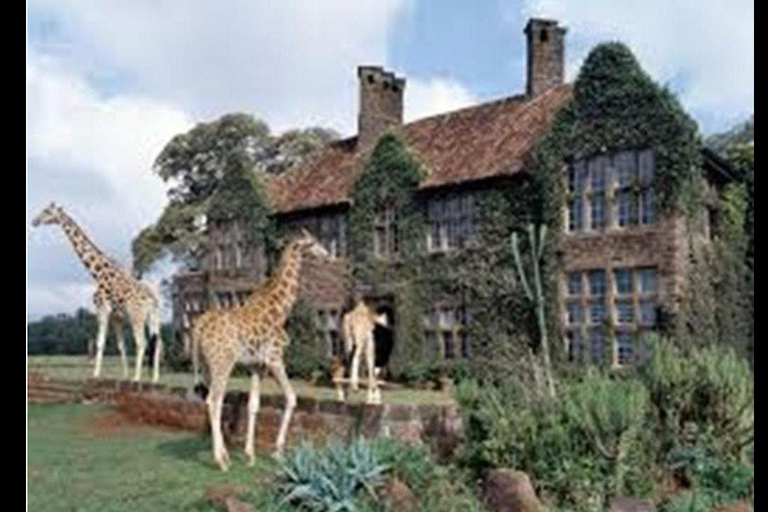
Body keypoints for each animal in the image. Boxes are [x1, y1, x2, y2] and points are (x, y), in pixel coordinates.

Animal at [31, 202, 163, 382]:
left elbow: (100, 342)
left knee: (142, 342)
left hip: (137, 316)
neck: (97, 273)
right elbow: (121, 346)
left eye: (47, 211)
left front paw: (95, 374)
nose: (34, 221)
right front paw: (124, 376)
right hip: (154, 318)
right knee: (157, 343)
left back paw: (137, 378)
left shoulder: (102, 308)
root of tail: (152, 300)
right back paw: (154, 379)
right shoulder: (117, 317)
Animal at [191, 230, 329, 471]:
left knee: (211, 399)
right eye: (313, 243)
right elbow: (291, 398)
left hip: (208, 366)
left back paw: (224, 454)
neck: (279, 310)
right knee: (214, 400)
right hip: (222, 363)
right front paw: (278, 452)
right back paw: (221, 460)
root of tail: (200, 326)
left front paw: (250, 455)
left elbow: (253, 405)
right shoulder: (275, 359)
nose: (328, 255)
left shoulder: (257, 366)